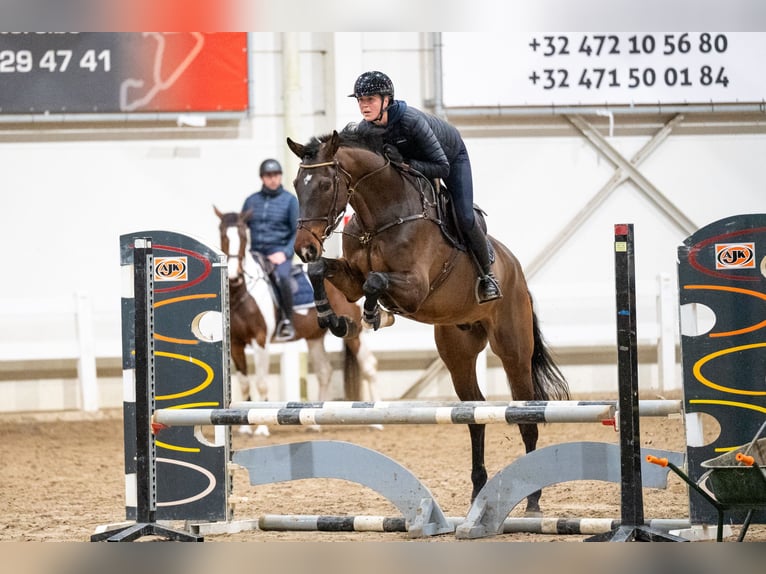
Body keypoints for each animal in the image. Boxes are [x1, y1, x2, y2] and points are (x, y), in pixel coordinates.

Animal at [213, 209, 380, 430]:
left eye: (242, 235)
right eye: (223, 234)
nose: (233, 276)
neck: (242, 293)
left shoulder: (260, 341)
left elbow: (261, 383)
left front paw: (261, 429)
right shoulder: (236, 344)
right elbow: (244, 383)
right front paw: (244, 427)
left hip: (354, 334)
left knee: (368, 366)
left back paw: (376, 421)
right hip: (315, 337)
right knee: (325, 371)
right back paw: (315, 423)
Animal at [286, 128, 568, 516]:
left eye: (327, 184)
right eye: (297, 184)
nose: (304, 247)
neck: (380, 216)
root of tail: (516, 272)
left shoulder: (414, 287)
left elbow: (376, 281)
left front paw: (374, 314)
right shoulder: (350, 279)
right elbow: (322, 272)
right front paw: (335, 320)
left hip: (513, 350)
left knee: (525, 414)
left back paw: (533, 500)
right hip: (457, 352)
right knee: (474, 414)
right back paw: (478, 494)